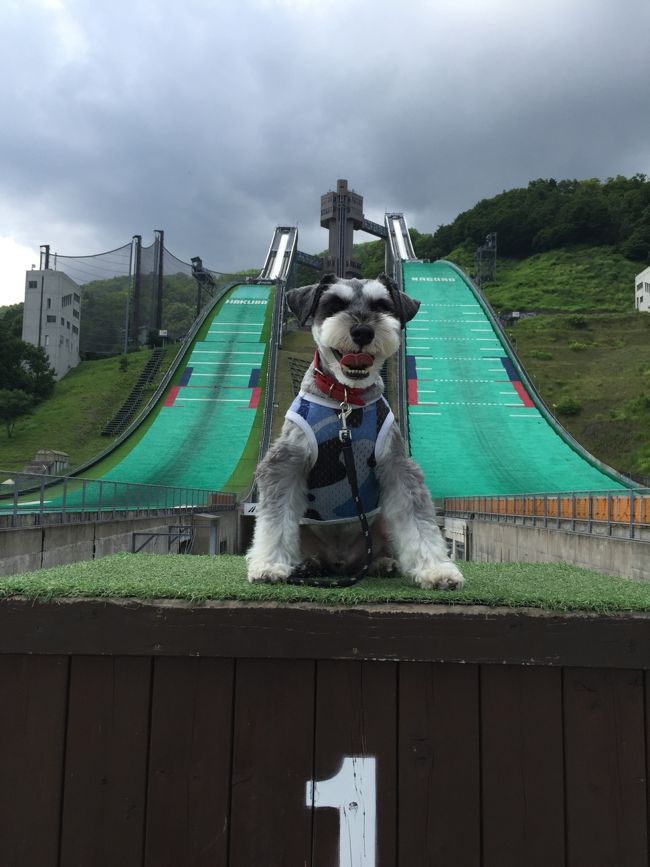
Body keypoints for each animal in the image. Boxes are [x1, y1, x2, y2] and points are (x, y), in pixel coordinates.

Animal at [246, 274, 464, 592]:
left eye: (382, 306)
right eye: (335, 305)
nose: (362, 331)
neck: (346, 399)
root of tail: (341, 561)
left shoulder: (396, 465)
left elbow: (418, 522)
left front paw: (437, 570)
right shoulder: (286, 463)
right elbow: (275, 519)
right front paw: (269, 566)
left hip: (380, 523)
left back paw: (382, 564)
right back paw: (308, 564)